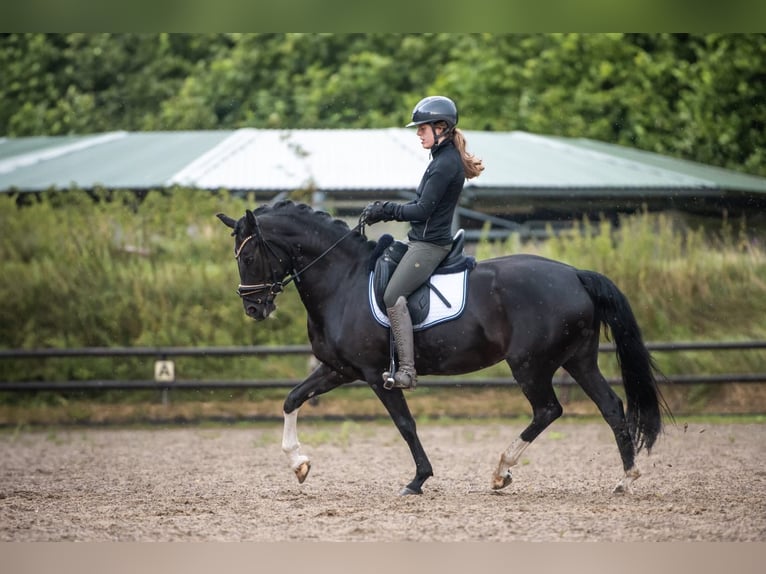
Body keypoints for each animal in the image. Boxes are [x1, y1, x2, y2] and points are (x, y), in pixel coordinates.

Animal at [218, 201, 672, 496]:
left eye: (250, 255)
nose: (254, 307)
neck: (342, 281)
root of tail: (576, 274)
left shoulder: (376, 375)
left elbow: (405, 424)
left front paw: (418, 480)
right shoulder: (339, 369)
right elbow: (292, 399)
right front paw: (299, 464)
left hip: (530, 364)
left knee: (548, 410)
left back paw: (501, 471)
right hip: (578, 359)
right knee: (611, 406)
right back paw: (625, 479)